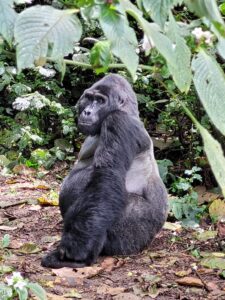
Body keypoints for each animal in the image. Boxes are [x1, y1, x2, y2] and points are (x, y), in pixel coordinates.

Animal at [41, 74, 168, 268]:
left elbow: (106, 178)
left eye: (100, 101)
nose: (87, 112)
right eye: (88, 98)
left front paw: (74, 251)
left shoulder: (119, 121)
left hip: (139, 236)